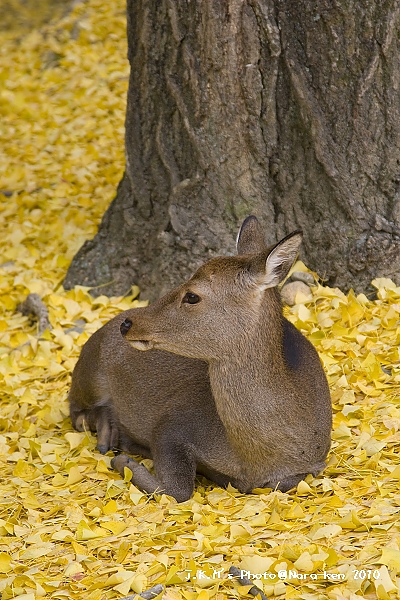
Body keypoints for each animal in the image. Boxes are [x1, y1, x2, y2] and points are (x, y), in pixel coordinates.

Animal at [69, 216, 332, 502]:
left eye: (192, 295)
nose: (128, 323)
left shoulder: (311, 465)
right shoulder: (173, 424)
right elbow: (178, 490)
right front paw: (124, 462)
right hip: (90, 373)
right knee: (76, 411)